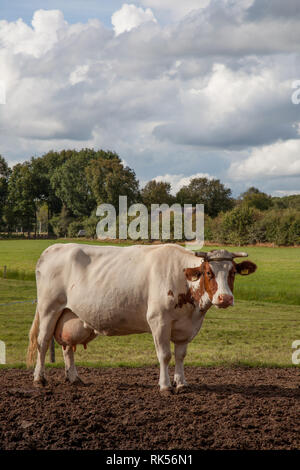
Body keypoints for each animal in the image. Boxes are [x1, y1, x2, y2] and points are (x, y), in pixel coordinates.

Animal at [27, 244, 256, 392]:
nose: (225, 298)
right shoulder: (159, 320)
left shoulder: (186, 327)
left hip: (70, 314)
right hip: (49, 308)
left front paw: (181, 383)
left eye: (233, 272)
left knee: (67, 347)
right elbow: (165, 355)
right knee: (43, 342)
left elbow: (180, 355)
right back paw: (39, 379)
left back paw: (74, 378)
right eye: (209, 272)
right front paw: (165, 386)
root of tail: (51, 249)